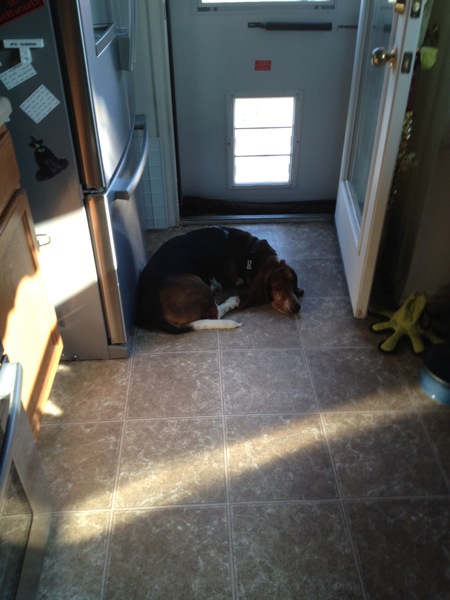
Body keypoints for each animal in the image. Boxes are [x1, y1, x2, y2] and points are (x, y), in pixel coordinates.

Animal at [136, 226, 303, 334]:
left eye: (292, 282)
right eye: (277, 287)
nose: (296, 308)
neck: (251, 253)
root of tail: (154, 309)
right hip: (197, 283)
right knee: (215, 313)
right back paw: (232, 300)